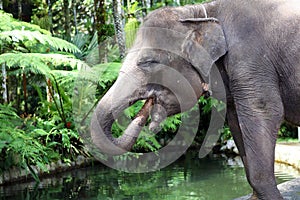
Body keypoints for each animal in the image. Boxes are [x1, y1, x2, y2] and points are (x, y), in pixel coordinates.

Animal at [91, 0, 300, 199]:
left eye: (149, 61)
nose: (147, 115)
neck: (198, 12)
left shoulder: (251, 60)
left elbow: (265, 112)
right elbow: (235, 122)